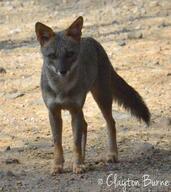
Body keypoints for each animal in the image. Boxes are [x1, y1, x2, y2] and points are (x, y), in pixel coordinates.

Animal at [34, 16, 150, 174]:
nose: (62, 71)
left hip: (102, 98)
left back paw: (112, 154)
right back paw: (84, 159)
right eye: (52, 56)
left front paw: (77, 165)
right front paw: (58, 165)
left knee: (111, 123)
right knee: (86, 124)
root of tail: (91, 39)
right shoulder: (54, 112)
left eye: (70, 54)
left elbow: (75, 143)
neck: (62, 89)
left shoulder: (75, 110)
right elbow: (57, 143)